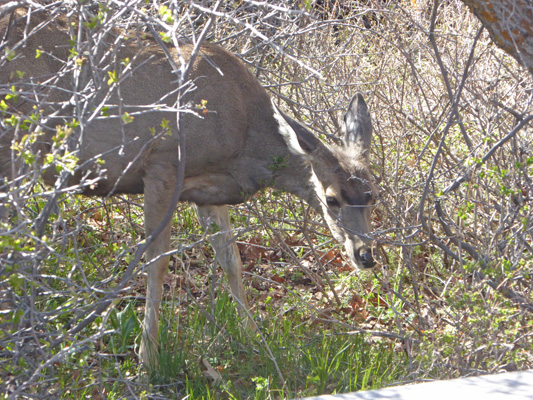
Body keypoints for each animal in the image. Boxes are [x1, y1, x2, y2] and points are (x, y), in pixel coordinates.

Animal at [0, 7, 376, 368]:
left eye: (373, 196)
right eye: (332, 199)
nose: (366, 255)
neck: (244, 135)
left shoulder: (210, 189)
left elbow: (231, 259)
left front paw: (255, 338)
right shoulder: (162, 166)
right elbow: (157, 262)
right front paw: (147, 357)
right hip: (15, 145)